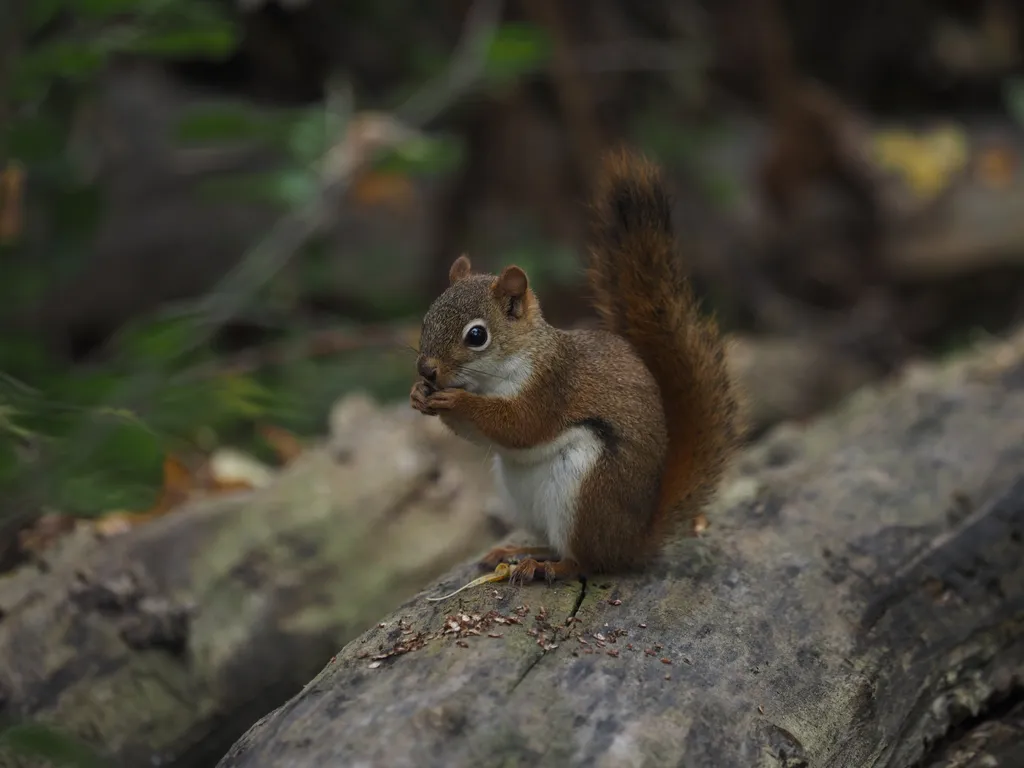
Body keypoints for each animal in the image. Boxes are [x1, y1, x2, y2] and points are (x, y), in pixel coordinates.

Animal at [411, 148, 741, 581]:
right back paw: (516, 550)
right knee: (554, 542)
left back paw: (544, 567)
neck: (500, 371)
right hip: (520, 495)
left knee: (586, 560)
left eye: (477, 335)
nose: (427, 370)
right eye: (427, 318)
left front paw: (457, 402)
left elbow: (520, 426)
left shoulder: (552, 386)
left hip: (584, 491)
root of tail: (632, 542)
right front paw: (419, 396)